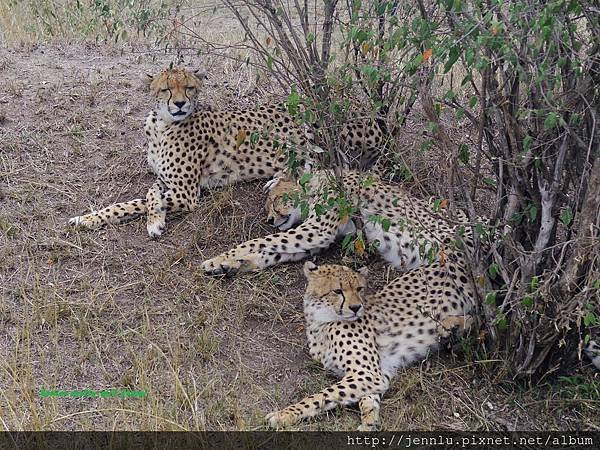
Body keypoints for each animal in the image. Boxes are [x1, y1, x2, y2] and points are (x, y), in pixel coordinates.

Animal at [67, 68, 384, 237]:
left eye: (189, 87)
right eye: (167, 89)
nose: (179, 104)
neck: (162, 125)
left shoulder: (186, 194)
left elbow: (141, 201)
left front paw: (155, 221)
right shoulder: (165, 181)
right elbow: (144, 195)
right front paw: (87, 219)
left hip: (314, 131)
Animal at [199, 169, 472, 274]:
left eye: (275, 202)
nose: (269, 219)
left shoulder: (316, 230)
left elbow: (260, 242)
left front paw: (221, 258)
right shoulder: (321, 239)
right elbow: (272, 251)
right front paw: (231, 264)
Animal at [268, 260, 474, 428]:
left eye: (359, 289)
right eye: (337, 291)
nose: (356, 307)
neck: (321, 323)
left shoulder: (367, 373)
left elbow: (321, 396)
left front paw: (283, 414)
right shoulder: (377, 372)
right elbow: (365, 399)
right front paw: (369, 422)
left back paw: (452, 327)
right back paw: (452, 329)